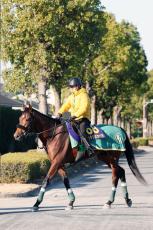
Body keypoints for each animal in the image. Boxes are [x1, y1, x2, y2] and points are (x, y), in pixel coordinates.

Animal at [13, 105, 146, 211]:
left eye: (28, 119)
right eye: (19, 118)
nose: (16, 135)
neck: (54, 134)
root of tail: (120, 130)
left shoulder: (56, 162)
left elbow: (46, 180)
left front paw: (36, 203)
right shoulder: (59, 164)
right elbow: (65, 181)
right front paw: (71, 202)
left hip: (111, 157)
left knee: (116, 174)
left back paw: (110, 201)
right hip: (105, 157)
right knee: (120, 171)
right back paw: (125, 200)